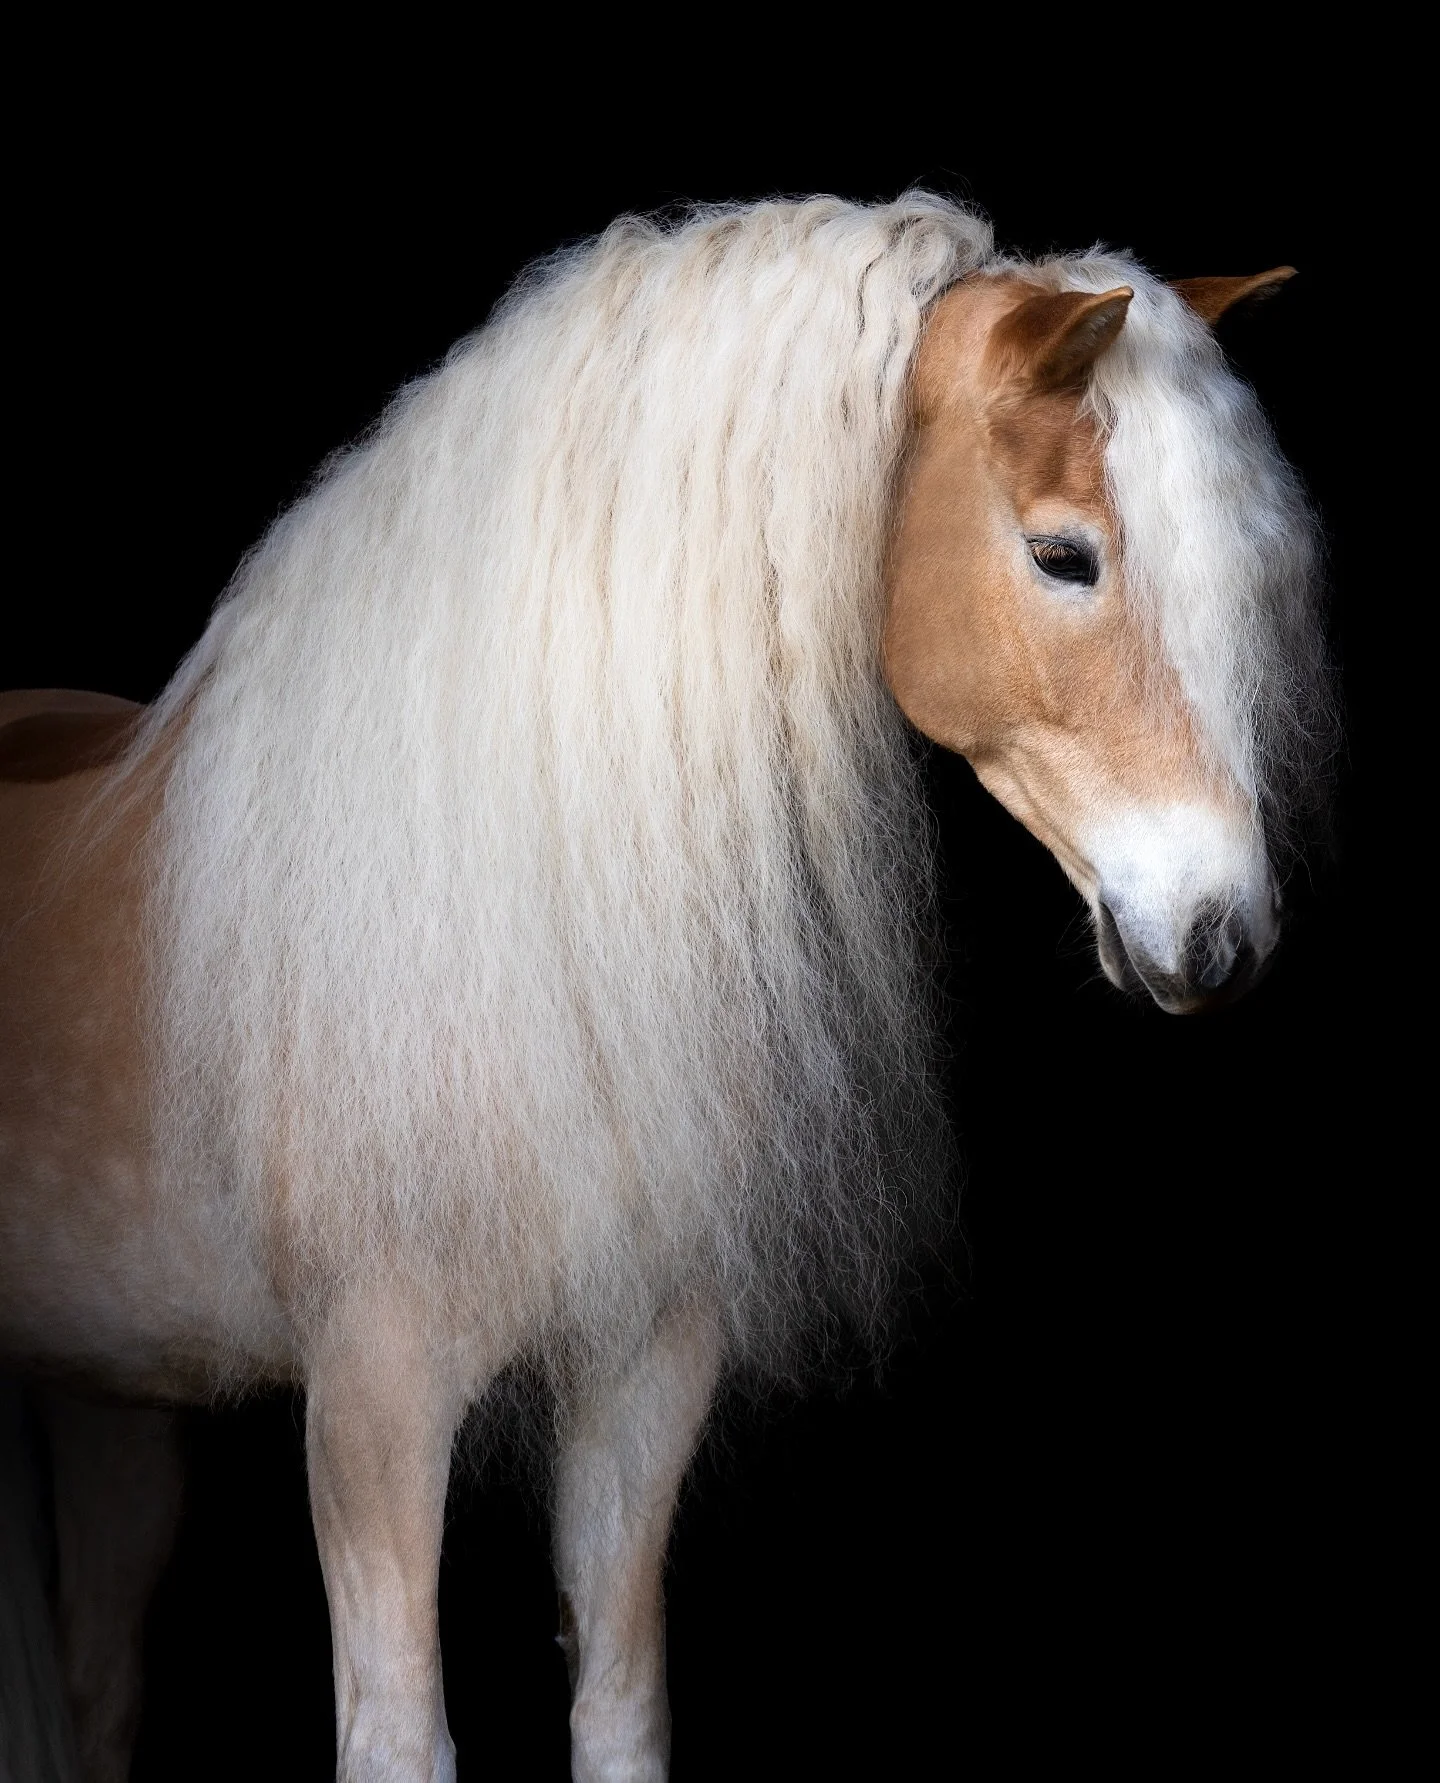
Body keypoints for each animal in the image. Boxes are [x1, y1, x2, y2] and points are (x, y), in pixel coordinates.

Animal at [0, 195, 1332, 1782]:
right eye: (1065, 556)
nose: (1220, 932)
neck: (521, 915)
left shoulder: (643, 1377)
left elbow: (622, 1709)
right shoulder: (372, 1401)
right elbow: (403, 1738)